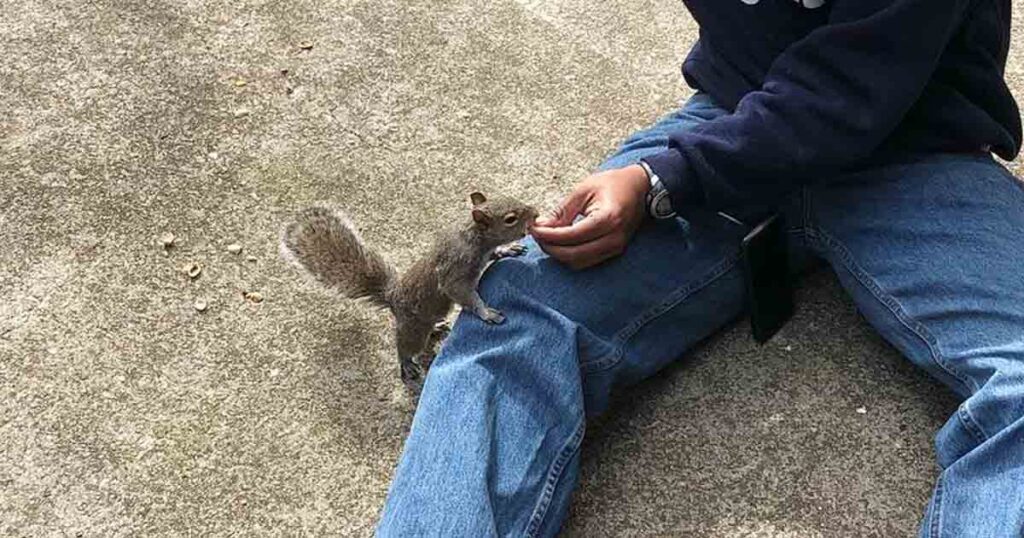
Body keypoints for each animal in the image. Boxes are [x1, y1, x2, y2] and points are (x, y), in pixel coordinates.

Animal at [280, 192, 538, 392]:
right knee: (405, 348)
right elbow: (464, 294)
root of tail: (393, 299)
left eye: (512, 198)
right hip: (413, 330)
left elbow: (495, 253)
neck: (475, 237)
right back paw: (406, 364)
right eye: (510, 219)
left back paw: (437, 327)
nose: (535, 213)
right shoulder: (454, 271)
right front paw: (487, 313)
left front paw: (508, 249)